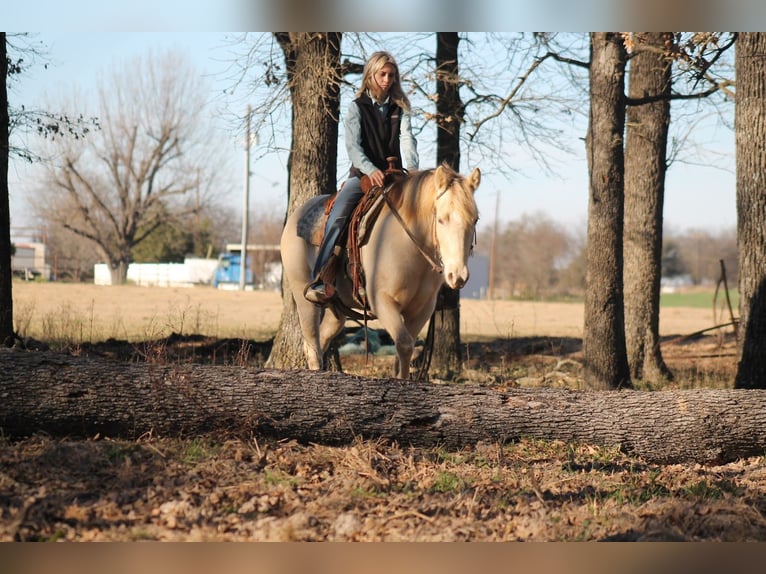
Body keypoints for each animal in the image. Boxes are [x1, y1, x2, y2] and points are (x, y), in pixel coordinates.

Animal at [280, 163, 481, 379]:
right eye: (442, 219)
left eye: (475, 220)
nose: (458, 276)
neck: (409, 246)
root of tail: (296, 216)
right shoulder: (382, 301)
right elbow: (404, 344)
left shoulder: (422, 309)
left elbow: (403, 352)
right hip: (304, 298)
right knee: (312, 345)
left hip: (337, 306)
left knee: (325, 337)